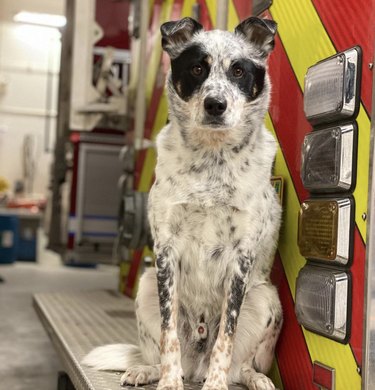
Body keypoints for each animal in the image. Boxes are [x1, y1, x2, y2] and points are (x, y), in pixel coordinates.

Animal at [82, 16, 282, 390]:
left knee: (241, 365)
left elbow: (226, 339)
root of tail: (196, 366)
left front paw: (216, 385)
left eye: (238, 70)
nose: (215, 104)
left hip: (266, 298)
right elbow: (168, 332)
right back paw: (147, 370)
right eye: (197, 68)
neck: (211, 161)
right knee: (155, 351)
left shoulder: (241, 260)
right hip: (145, 286)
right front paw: (168, 382)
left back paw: (254, 379)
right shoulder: (166, 253)